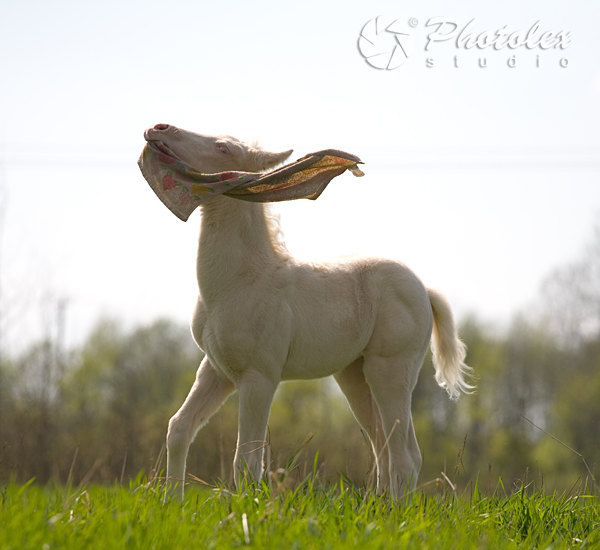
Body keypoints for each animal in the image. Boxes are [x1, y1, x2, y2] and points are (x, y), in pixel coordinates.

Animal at [143, 124, 472, 500]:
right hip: (354, 375)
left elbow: (247, 458)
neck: (238, 280)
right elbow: (179, 429)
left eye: (224, 148)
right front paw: (172, 502)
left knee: (404, 455)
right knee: (384, 447)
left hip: (392, 369)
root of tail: (424, 291)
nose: (158, 128)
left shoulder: (259, 376)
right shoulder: (216, 370)